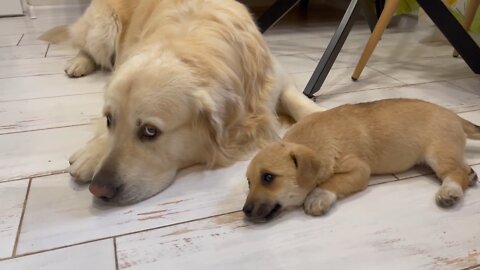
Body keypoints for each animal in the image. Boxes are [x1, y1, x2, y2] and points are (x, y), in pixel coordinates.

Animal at [244, 98, 480, 221]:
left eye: (268, 177)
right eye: (249, 182)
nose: (245, 211)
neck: (312, 142)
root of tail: (455, 116)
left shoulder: (359, 170)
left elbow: (332, 182)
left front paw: (317, 196)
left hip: (438, 152)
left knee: (455, 172)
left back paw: (449, 191)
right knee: (461, 168)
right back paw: (469, 175)